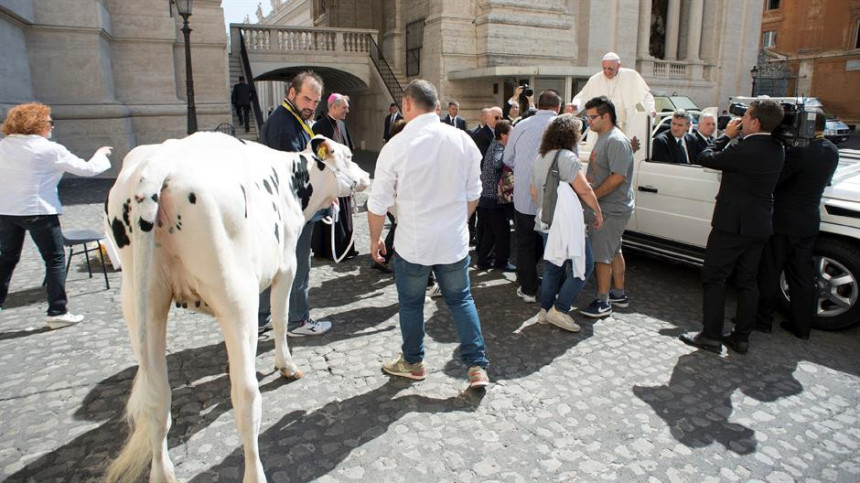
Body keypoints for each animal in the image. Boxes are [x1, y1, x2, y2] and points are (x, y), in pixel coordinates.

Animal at [102, 132, 368, 483]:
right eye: (348, 155)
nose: (367, 176)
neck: (292, 179)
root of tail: (159, 165)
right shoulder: (287, 266)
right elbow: (280, 318)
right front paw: (286, 365)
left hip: (141, 302)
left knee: (156, 399)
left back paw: (163, 473)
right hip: (237, 298)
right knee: (245, 396)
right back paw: (255, 472)